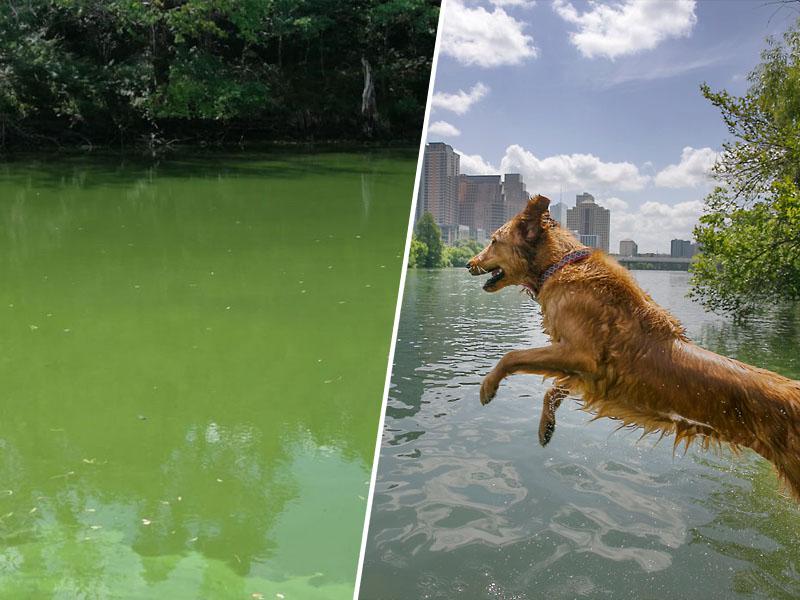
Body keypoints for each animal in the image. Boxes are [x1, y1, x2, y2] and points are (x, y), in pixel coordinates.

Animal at [466, 195, 800, 500]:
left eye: (493, 241)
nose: (468, 263)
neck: (558, 267)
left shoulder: (581, 355)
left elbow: (513, 356)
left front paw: (487, 387)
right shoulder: (586, 371)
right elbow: (555, 387)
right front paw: (546, 427)